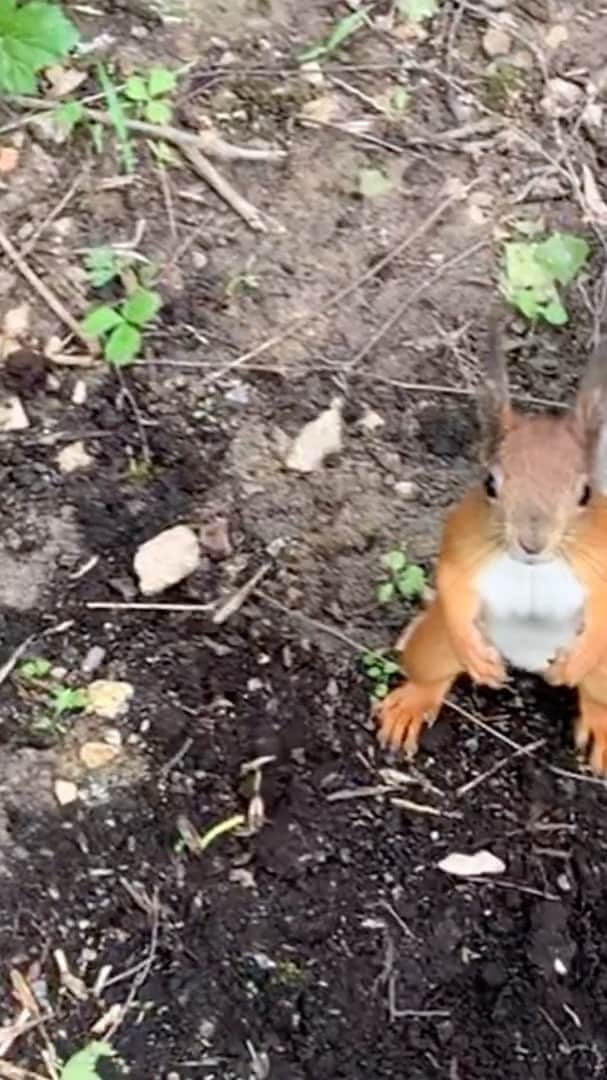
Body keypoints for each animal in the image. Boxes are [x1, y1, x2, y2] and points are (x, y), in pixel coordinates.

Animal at [376, 313, 607, 774]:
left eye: (585, 493)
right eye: (490, 484)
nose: (532, 543)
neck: (536, 567)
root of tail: (527, 663)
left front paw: (578, 657)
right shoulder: (462, 537)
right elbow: (450, 578)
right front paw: (473, 653)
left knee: (596, 698)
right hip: (434, 644)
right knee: (432, 672)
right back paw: (412, 702)